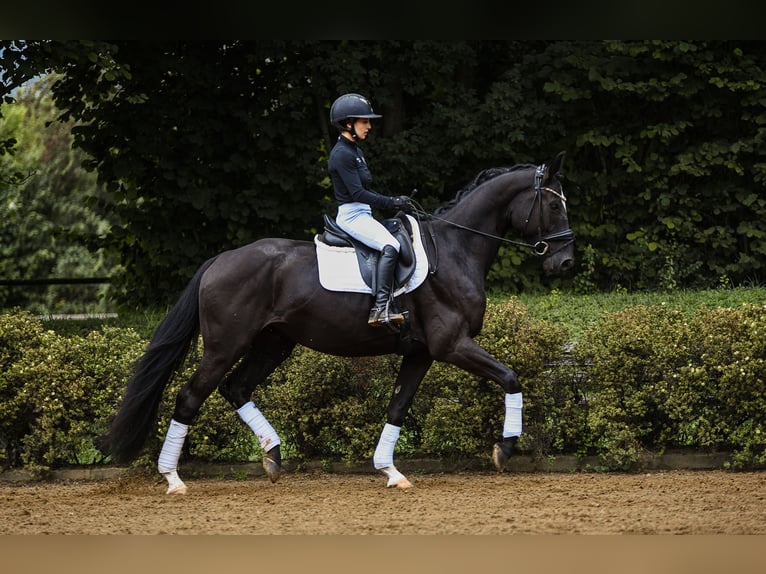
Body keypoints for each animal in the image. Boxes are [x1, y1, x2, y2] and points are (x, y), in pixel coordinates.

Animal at [106, 153, 576, 496]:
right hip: (225, 346)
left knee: (236, 388)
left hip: (274, 344)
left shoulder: (421, 352)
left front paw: (390, 471)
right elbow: (511, 377)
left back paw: (273, 457)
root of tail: (219, 260)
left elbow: (397, 407)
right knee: (190, 397)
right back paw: (173, 479)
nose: (565, 262)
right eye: (554, 205)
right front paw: (504, 450)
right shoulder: (452, 344)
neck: (455, 249)